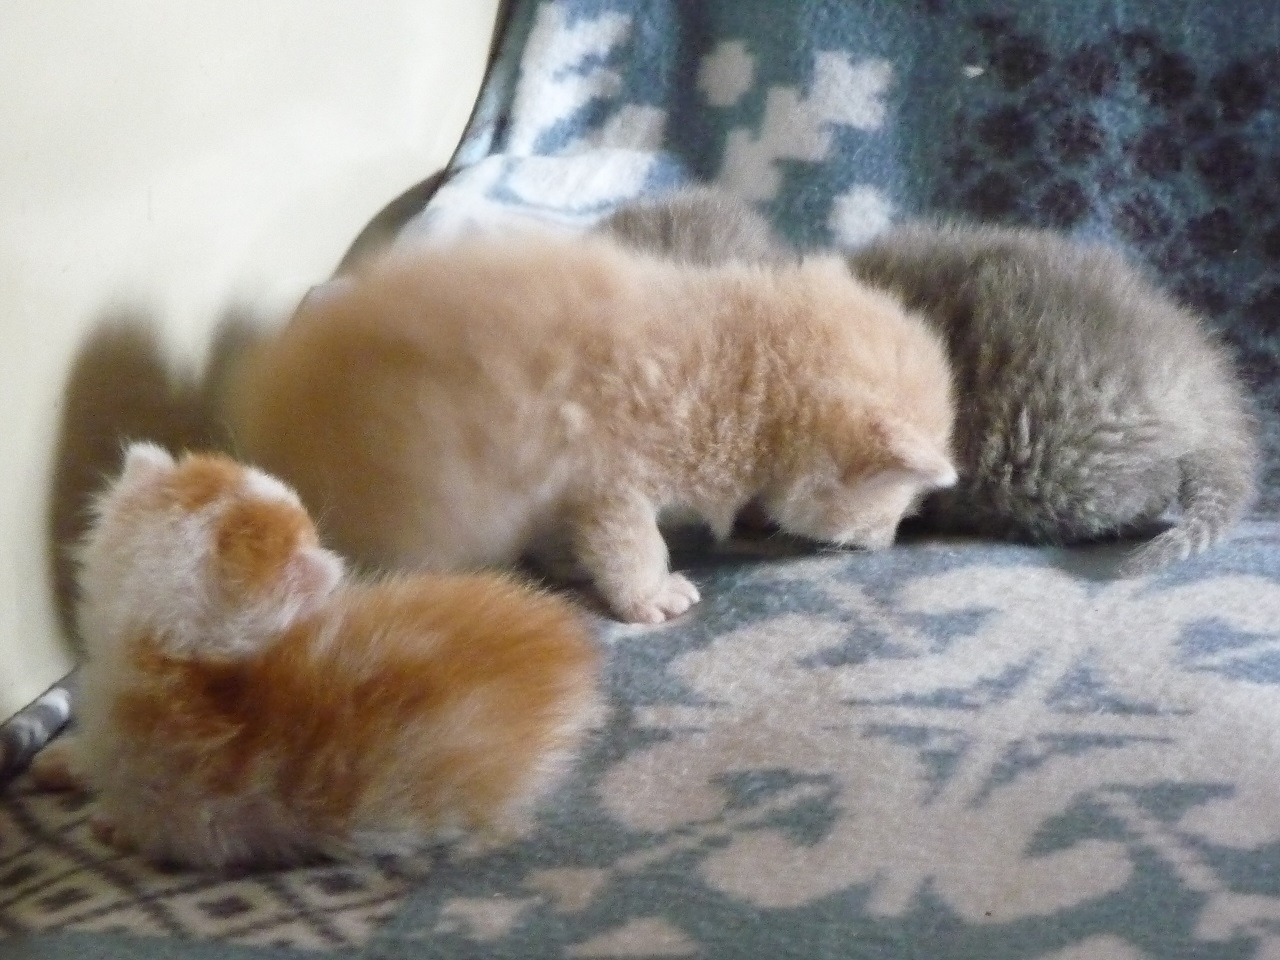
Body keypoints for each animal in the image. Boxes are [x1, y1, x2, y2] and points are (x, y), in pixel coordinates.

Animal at [31, 443, 599, 870]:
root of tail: (568, 642)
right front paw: (67, 758)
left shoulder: (193, 820)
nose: (326, 548)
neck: (157, 650)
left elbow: (146, 825)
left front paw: (109, 822)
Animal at [223, 228, 957, 624]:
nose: (890, 541)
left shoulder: (567, 486)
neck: (745, 365)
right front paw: (651, 597)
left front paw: (567, 564)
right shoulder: (614, 478)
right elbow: (631, 545)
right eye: (902, 504)